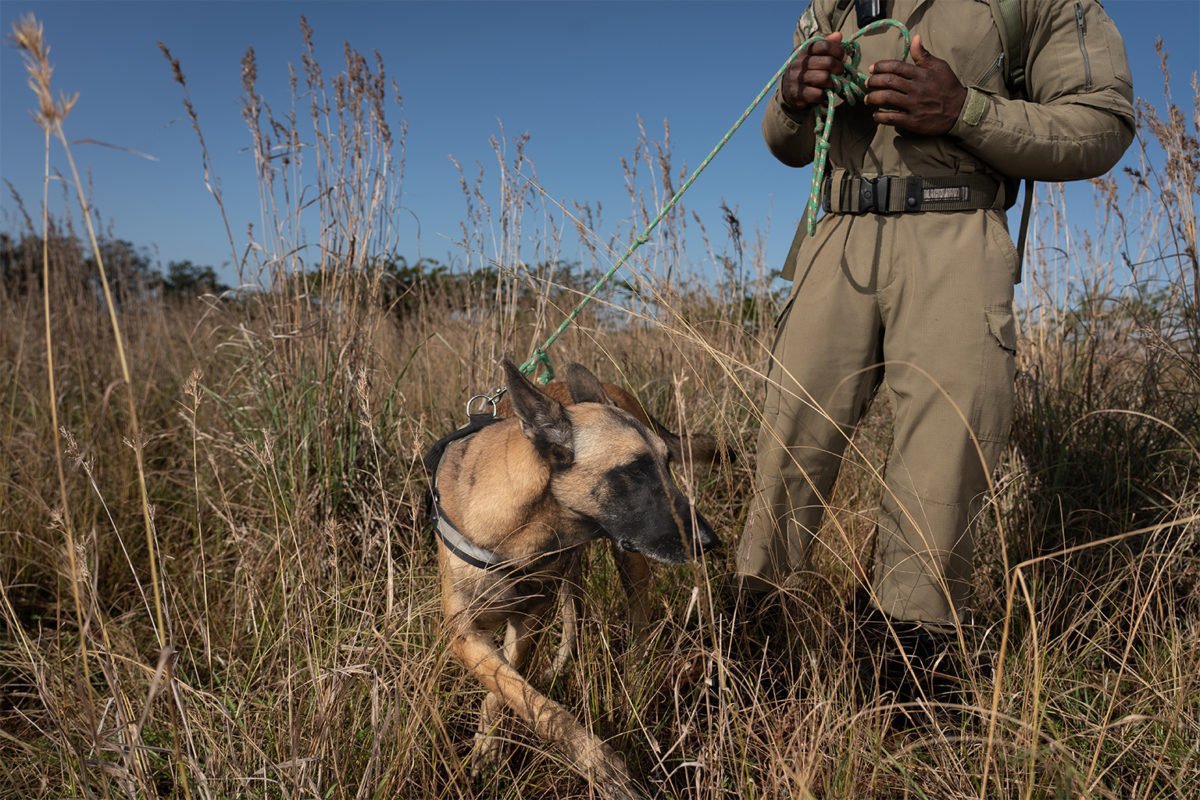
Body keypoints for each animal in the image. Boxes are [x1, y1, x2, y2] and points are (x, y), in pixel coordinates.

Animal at [432, 362, 720, 800]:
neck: (519, 527)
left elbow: (510, 695)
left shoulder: (527, 623)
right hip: (571, 575)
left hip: (629, 563)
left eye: (668, 463)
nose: (709, 541)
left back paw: (635, 678)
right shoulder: (465, 634)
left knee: (636, 623)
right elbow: (518, 693)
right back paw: (559, 667)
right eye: (634, 471)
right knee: (574, 616)